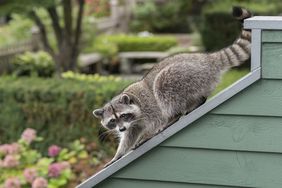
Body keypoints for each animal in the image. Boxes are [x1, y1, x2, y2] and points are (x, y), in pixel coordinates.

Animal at [93, 6, 252, 167]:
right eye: (112, 121)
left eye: (123, 115)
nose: (121, 128)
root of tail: (208, 60)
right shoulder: (133, 124)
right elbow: (129, 136)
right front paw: (118, 154)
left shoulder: (148, 108)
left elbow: (156, 120)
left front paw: (147, 135)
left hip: (184, 75)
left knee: (163, 86)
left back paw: (174, 116)